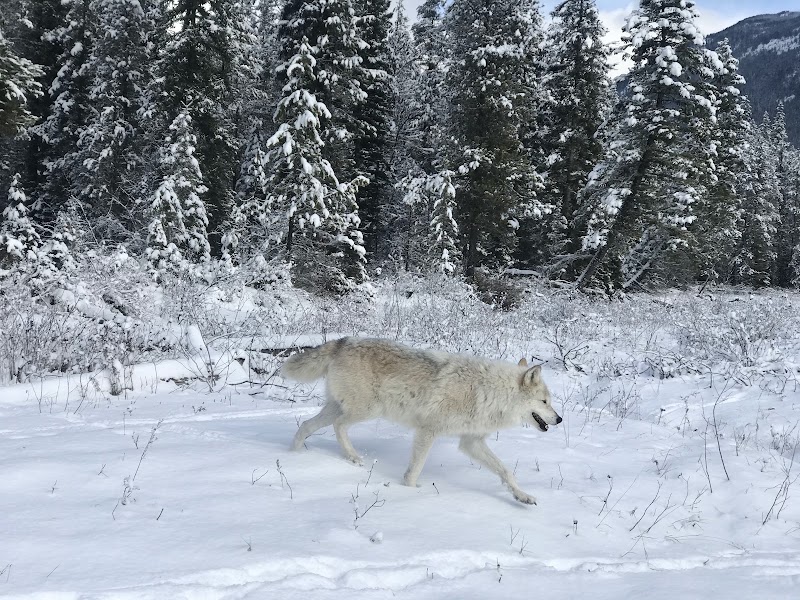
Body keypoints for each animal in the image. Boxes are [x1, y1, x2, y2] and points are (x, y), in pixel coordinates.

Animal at [281, 337, 561, 504]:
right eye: (544, 402)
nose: (559, 419)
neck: (488, 392)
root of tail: (343, 341)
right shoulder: (428, 430)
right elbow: (414, 470)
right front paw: (411, 492)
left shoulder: (471, 443)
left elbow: (506, 471)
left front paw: (522, 496)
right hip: (368, 409)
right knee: (338, 426)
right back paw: (352, 457)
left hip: (337, 408)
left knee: (305, 426)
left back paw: (294, 456)